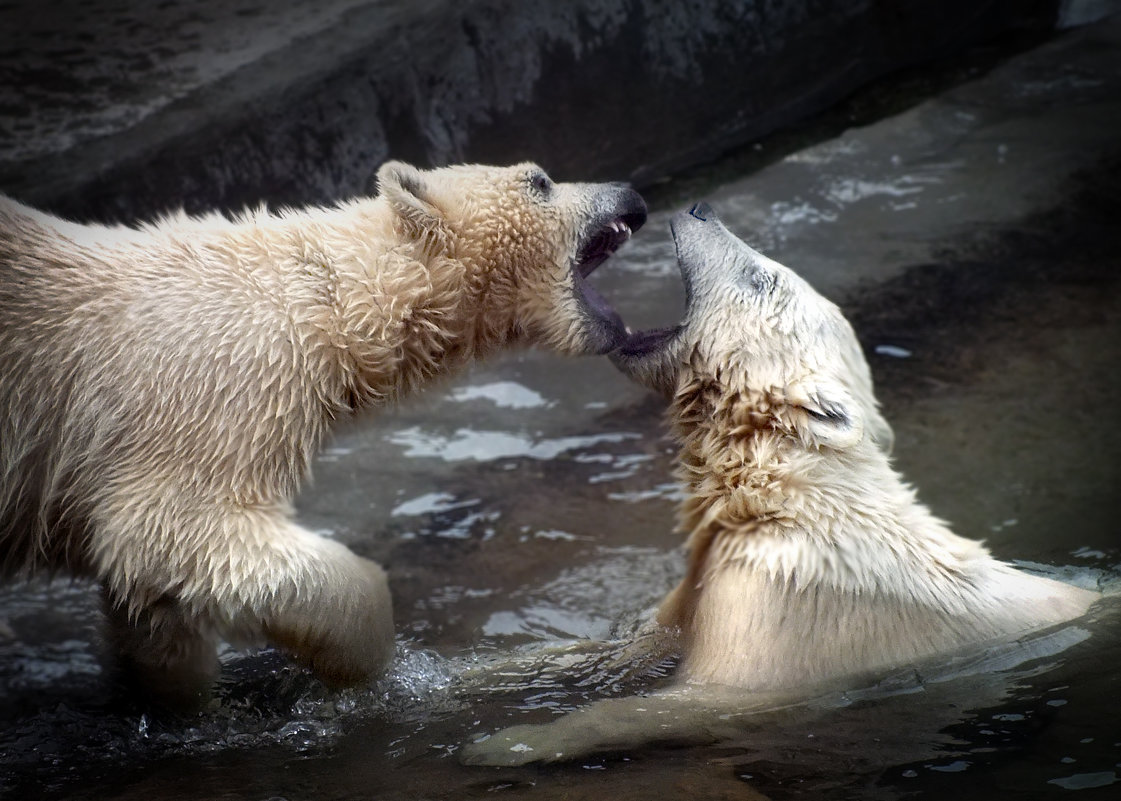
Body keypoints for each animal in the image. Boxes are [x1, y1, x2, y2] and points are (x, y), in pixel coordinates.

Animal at [0, 162, 645, 708]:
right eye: (539, 180)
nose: (632, 196)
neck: (319, 296)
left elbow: (151, 602)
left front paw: (171, 701)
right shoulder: (214, 384)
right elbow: (170, 530)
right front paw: (370, 672)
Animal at [461, 200, 1094, 766]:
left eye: (762, 277)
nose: (700, 206)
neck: (776, 495)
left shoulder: (779, 604)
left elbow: (696, 700)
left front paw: (506, 745)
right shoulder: (707, 576)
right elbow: (631, 639)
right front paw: (465, 676)